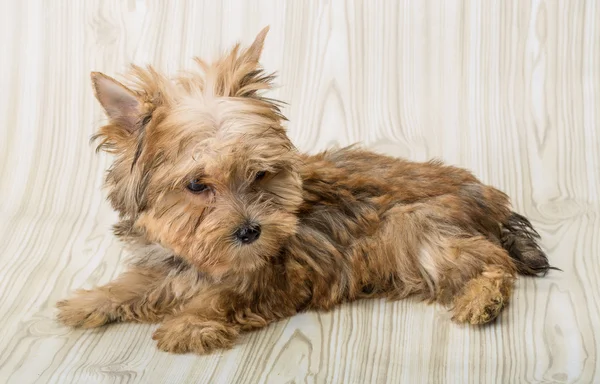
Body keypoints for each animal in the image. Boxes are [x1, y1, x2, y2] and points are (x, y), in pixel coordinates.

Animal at [57, 27, 552, 356]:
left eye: (259, 175)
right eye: (197, 185)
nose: (250, 232)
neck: (205, 258)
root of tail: (489, 197)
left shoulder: (270, 276)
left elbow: (222, 295)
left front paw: (192, 322)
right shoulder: (167, 261)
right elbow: (137, 280)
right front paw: (93, 299)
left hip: (418, 228)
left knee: (492, 260)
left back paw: (482, 299)